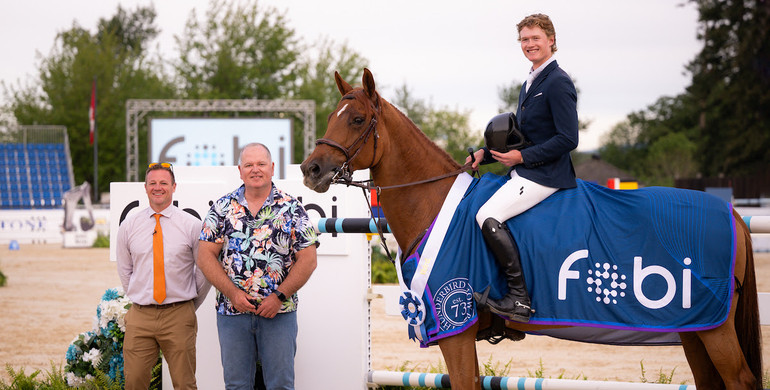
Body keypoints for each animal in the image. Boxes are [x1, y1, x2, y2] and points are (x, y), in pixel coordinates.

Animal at [300, 68, 760, 388]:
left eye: (357, 119)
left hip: (715, 330)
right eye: (332, 116)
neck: (434, 201)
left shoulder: (455, 329)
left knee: (739, 380)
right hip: (694, 328)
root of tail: (733, 214)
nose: (311, 169)